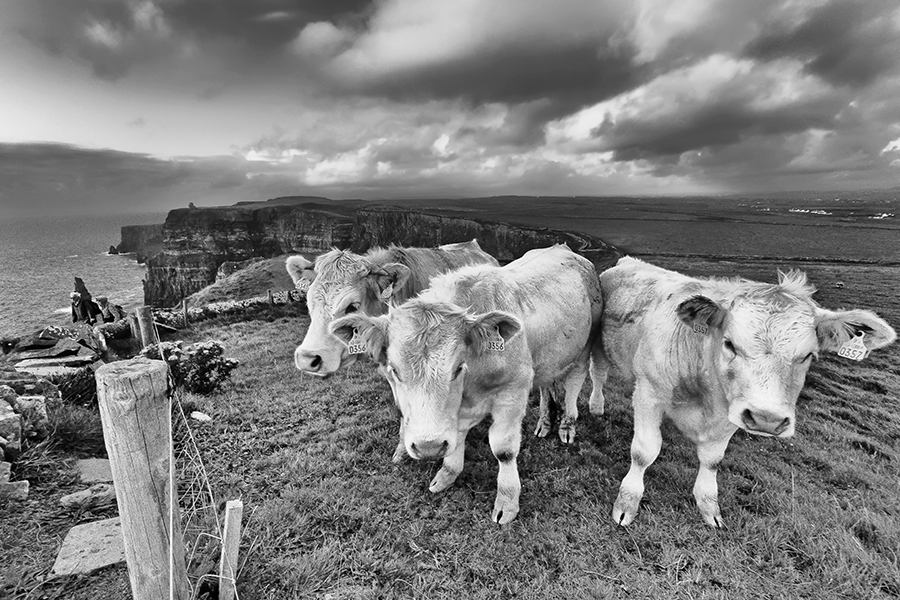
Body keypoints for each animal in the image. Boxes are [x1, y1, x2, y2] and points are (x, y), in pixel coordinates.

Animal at [329, 245, 605, 524]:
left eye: (458, 367)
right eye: (393, 370)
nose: (428, 447)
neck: (472, 385)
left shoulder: (513, 393)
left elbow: (504, 450)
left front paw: (507, 501)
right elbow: (456, 437)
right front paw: (446, 474)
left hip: (584, 347)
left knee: (573, 384)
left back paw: (566, 426)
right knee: (547, 385)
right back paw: (545, 423)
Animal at [594, 256, 897, 528]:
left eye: (807, 355)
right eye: (729, 343)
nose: (767, 419)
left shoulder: (734, 412)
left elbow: (712, 460)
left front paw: (709, 508)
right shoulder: (649, 393)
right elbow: (643, 451)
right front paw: (626, 504)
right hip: (599, 349)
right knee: (598, 375)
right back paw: (596, 407)